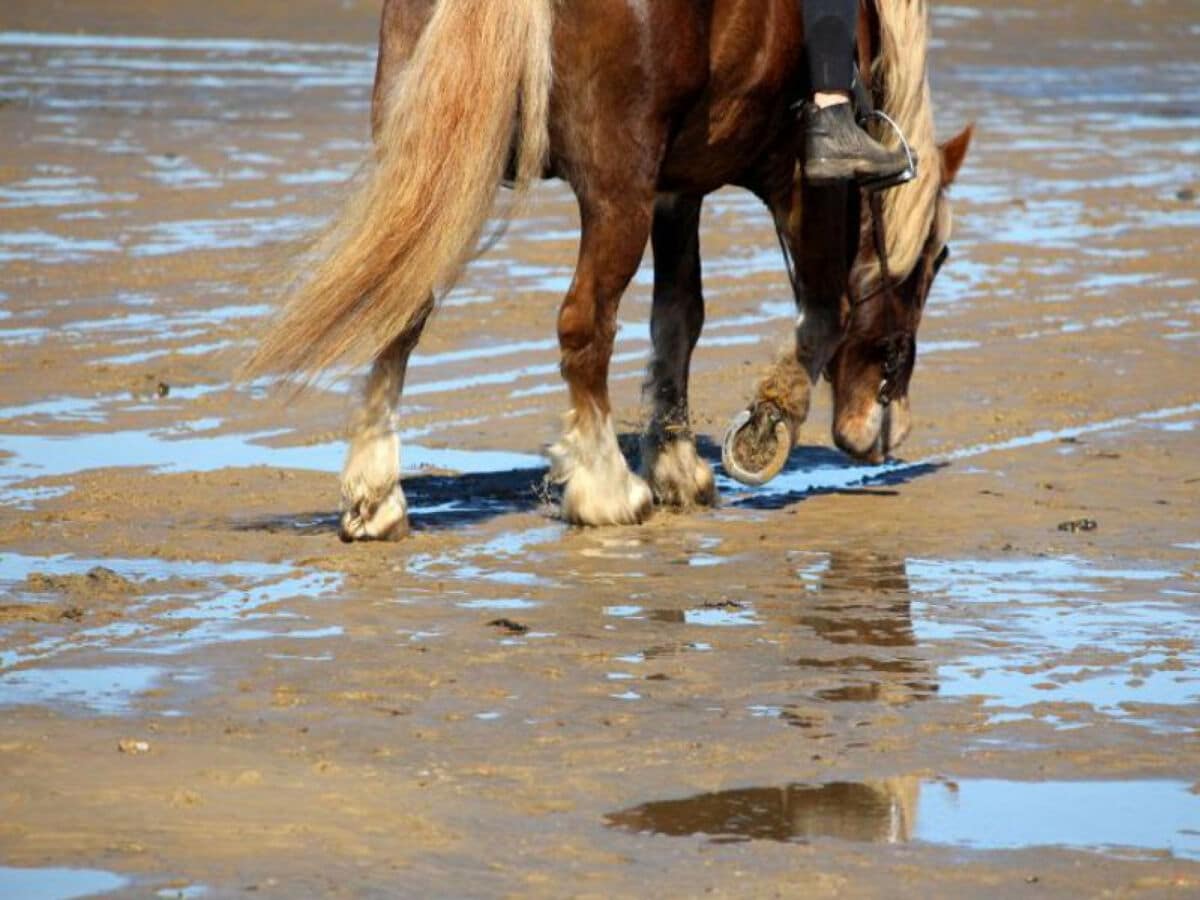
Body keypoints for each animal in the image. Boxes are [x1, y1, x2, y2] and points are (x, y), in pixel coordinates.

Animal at [243, 0, 964, 542]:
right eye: (935, 259)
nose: (887, 426)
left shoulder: (677, 191)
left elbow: (679, 319)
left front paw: (676, 463)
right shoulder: (806, 187)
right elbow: (823, 314)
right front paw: (765, 429)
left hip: (433, 164)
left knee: (402, 306)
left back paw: (375, 497)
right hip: (616, 190)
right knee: (584, 322)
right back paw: (606, 487)